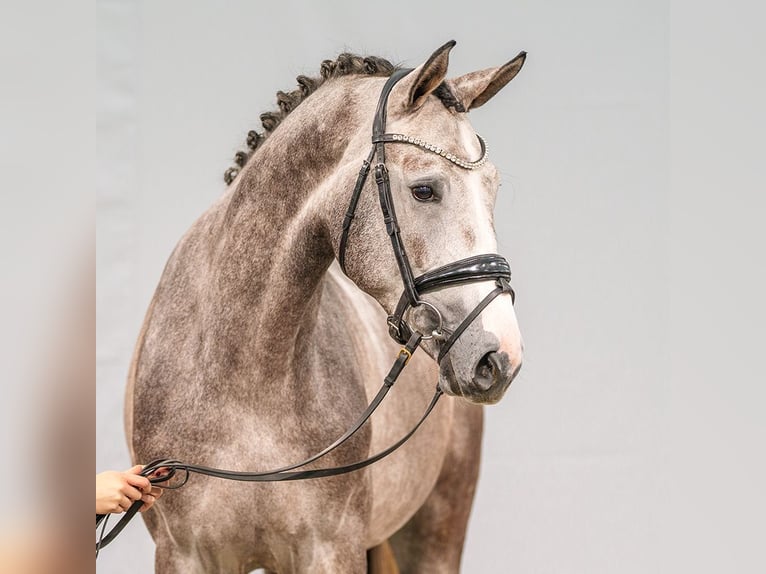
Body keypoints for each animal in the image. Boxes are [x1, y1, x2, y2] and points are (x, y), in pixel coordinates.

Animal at [127, 41, 528, 574]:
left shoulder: (331, 550)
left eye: (494, 189)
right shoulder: (183, 554)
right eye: (424, 189)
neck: (245, 378)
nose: (500, 357)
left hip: (436, 535)